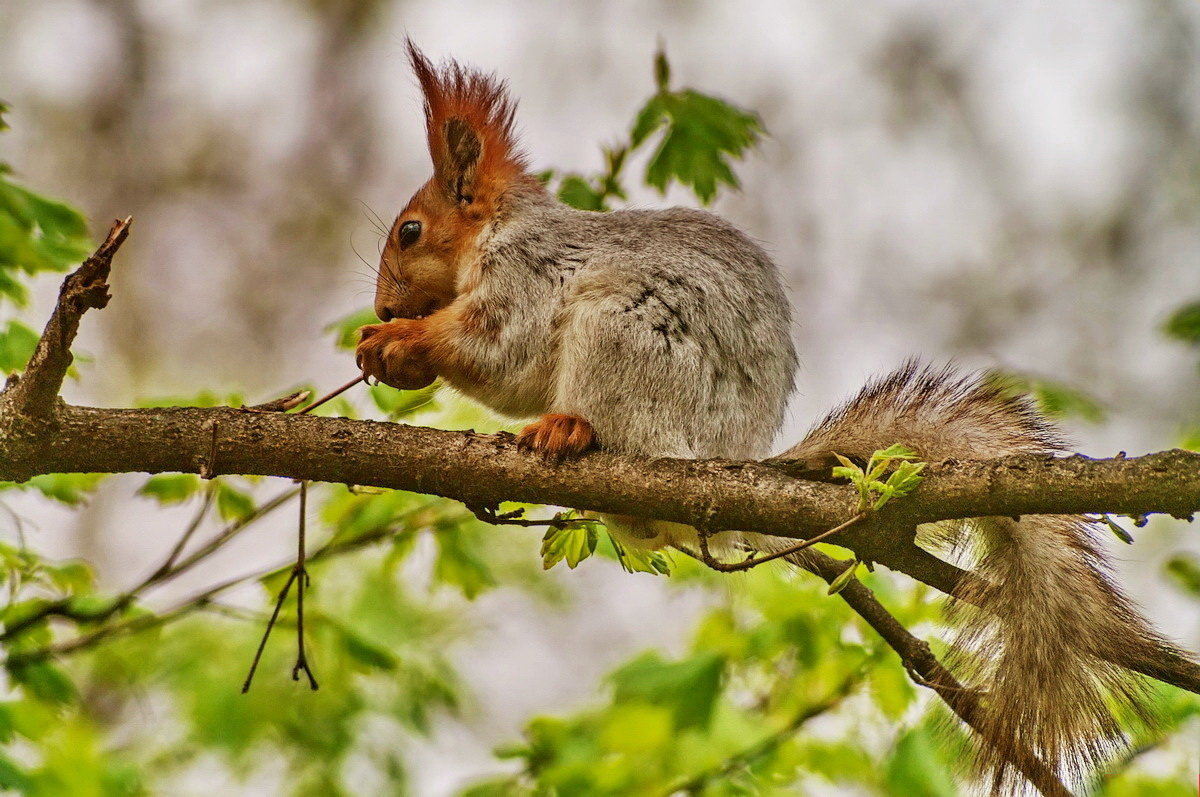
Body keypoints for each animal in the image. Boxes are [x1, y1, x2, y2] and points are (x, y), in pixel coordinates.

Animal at [352, 43, 1180, 797]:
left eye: (410, 231)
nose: (384, 307)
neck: (499, 233)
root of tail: (724, 459)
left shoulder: (525, 278)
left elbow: (501, 349)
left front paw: (405, 342)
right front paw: (387, 348)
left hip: (626, 337)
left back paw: (570, 431)